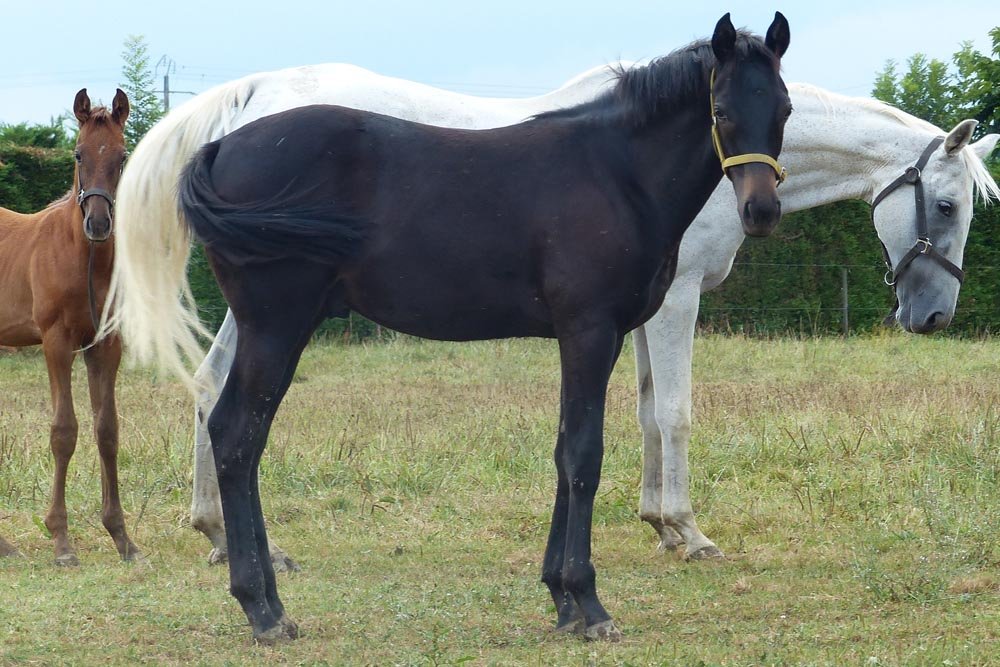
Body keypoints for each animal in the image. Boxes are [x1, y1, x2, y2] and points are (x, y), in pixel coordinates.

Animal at [0, 89, 141, 566]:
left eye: (122, 155)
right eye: (78, 153)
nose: (98, 224)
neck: (84, 259)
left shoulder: (105, 344)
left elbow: (107, 429)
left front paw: (121, 536)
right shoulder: (56, 341)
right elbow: (64, 432)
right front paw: (61, 540)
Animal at [104, 14, 791, 642]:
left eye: (783, 108)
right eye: (722, 109)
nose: (761, 211)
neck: (614, 171)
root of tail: (222, 147)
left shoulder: (589, 336)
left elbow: (563, 450)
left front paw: (561, 599)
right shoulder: (590, 332)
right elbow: (583, 455)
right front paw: (589, 603)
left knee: (237, 435)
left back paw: (267, 596)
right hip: (275, 326)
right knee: (236, 435)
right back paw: (263, 609)